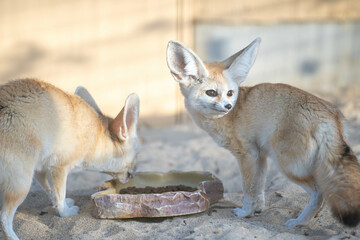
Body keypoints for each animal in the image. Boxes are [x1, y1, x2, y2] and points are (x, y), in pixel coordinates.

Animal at [0, 78, 139, 239]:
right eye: (137, 155)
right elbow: (59, 195)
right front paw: (65, 212)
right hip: (21, 184)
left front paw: (61, 204)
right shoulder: (59, 167)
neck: (95, 136)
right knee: (4, 217)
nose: (134, 174)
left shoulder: (41, 169)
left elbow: (51, 191)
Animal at [167, 38, 360, 228]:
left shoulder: (247, 155)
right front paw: (257, 209)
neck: (227, 118)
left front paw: (245, 212)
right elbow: (258, 187)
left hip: (289, 166)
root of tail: (330, 114)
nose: (228, 106)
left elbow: (248, 188)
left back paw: (299, 222)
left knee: (319, 193)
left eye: (230, 93)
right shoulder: (260, 155)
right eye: (211, 93)